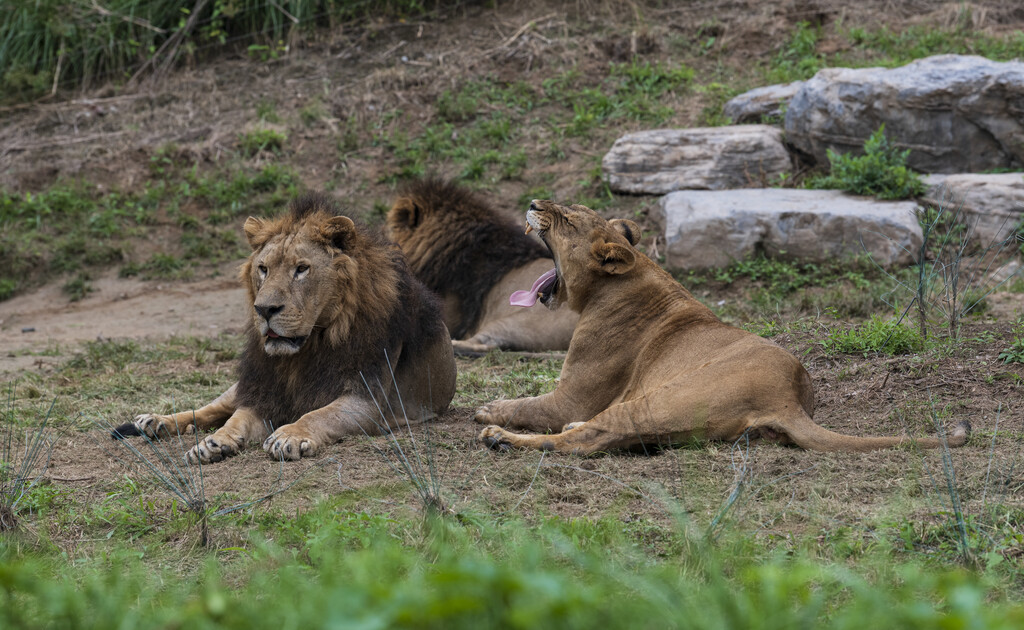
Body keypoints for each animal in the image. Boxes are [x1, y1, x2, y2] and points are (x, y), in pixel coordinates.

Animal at [114, 192, 458, 463]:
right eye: (263, 269)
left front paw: (289, 435)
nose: (265, 309)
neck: (308, 348)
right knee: (212, 408)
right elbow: (236, 418)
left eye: (302, 269)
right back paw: (156, 421)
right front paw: (215, 443)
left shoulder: (366, 398)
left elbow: (319, 414)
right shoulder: (263, 390)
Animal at [475, 200, 970, 452]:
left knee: (588, 437)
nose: (533, 202)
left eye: (566, 219)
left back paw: (501, 439)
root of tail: (788, 398)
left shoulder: (571, 396)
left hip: (659, 398)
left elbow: (529, 404)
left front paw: (490, 410)